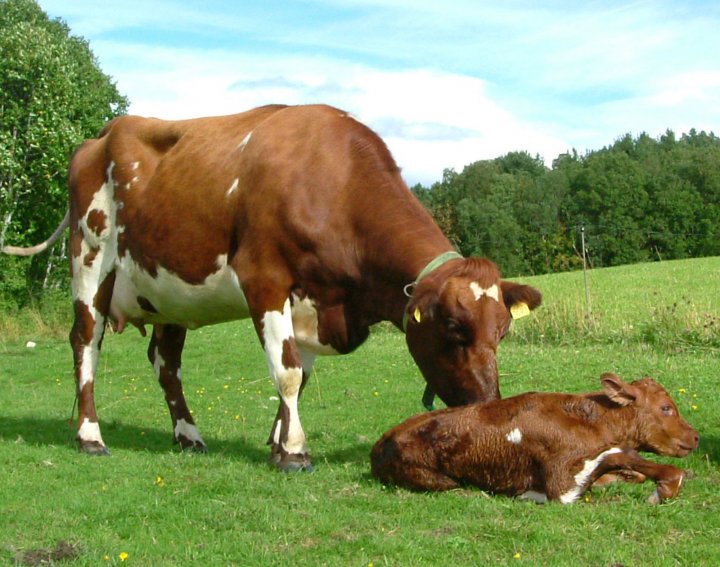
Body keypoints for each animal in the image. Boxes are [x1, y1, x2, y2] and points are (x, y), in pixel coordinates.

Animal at [1, 104, 540, 472]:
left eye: (503, 332)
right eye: (451, 328)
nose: (489, 404)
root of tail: (102, 134)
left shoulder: (316, 303)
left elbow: (301, 373)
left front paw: (280, 439)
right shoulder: (265, 279)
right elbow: (287, 372)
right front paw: (294, 452)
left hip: (169, 290)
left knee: (165, 362)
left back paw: (188, 434)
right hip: (90, 261)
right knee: (85, 344)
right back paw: (90, 436)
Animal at [372, 374, 696, 504]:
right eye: (666, 408)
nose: (695, 437)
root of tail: (381, 442)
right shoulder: (561, 485)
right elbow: (619, 453)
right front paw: (668, 484)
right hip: (439, 480)